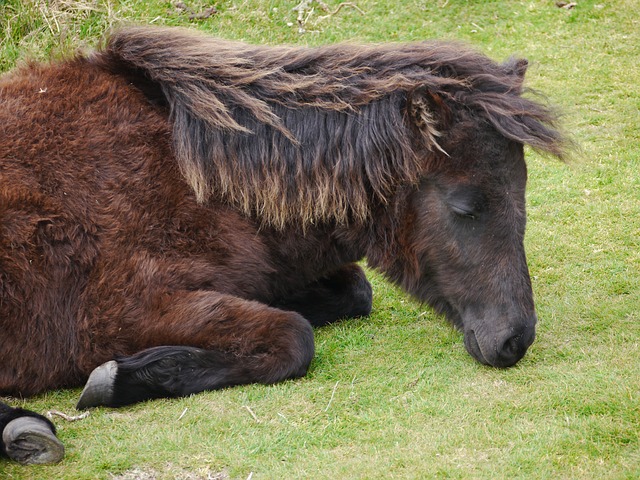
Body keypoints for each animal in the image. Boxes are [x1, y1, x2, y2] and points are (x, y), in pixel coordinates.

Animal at [0, 28, 564, 440]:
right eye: (465, 206)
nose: (515, 339)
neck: (193, 176)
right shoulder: (123, 310)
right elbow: (294, 337)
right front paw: (119, 378)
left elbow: (353, 292)